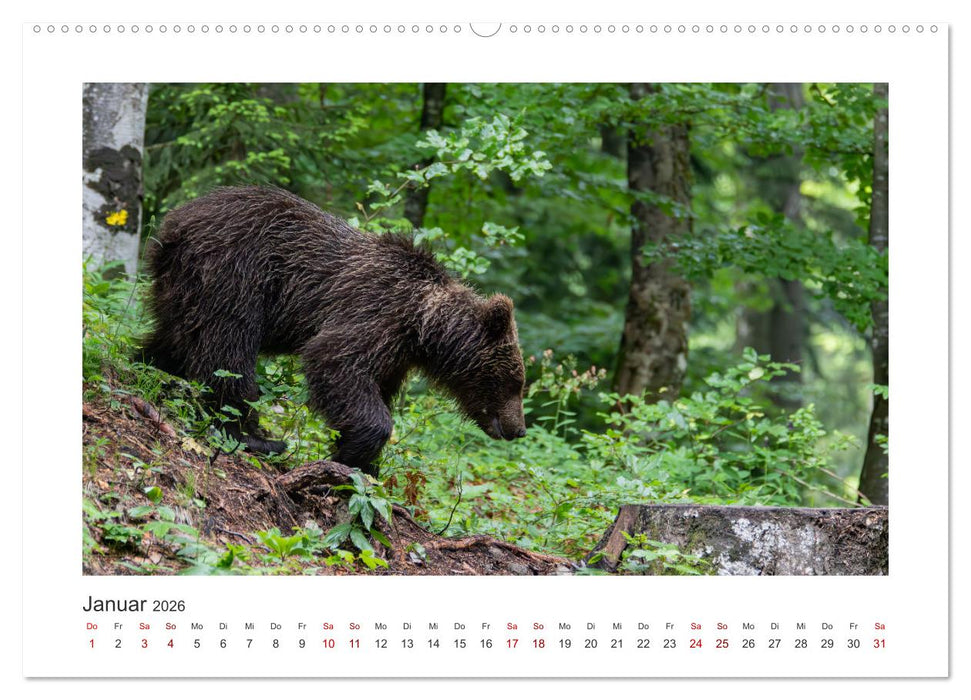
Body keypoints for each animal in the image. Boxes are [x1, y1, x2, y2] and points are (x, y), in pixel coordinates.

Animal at [141, 186, 527, 476]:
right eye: (514, 382)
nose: (518, 428)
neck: (422, 327)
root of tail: (174, 224)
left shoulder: (395, 356)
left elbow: (369, 391)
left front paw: (362, 461)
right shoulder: (375, 311)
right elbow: (335, 361)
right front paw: (352, 454)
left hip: (184, 289)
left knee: (176, 341)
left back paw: (152, 371)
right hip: (233, 275)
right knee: (228, 353)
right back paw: (257, 437)